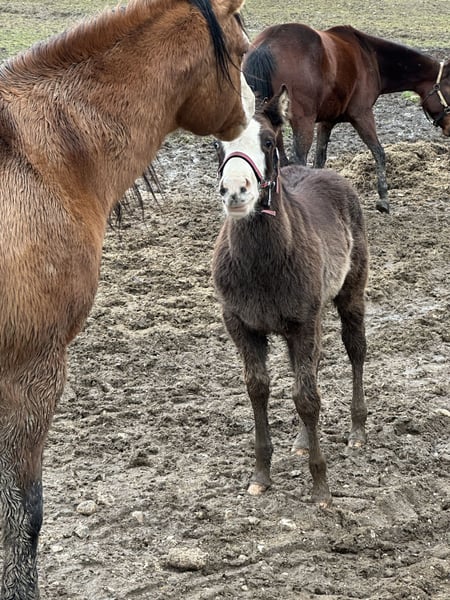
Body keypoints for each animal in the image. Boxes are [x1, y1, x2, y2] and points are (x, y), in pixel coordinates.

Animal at [212, 87, 369, 507]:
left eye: (268, 142)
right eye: (218, 145)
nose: (235, 192)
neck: (262, 264)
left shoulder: (303, 322)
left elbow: (307, 397)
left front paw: (320, 488)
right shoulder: (242, 325)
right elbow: (259, 389)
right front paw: (261, 476)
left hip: (351, 293)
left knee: (355, 350)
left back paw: (357, 430)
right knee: (309, 366)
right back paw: (300, 441)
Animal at [243, 23, 450, 213]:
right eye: (449, 90)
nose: (449, 128)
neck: (370, 55)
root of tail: (267, 44)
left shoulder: (326, 122)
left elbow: (320, 160)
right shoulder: (362, 114)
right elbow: (379, 152)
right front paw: (383, 198)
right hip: (303, 123)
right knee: (296, 160)